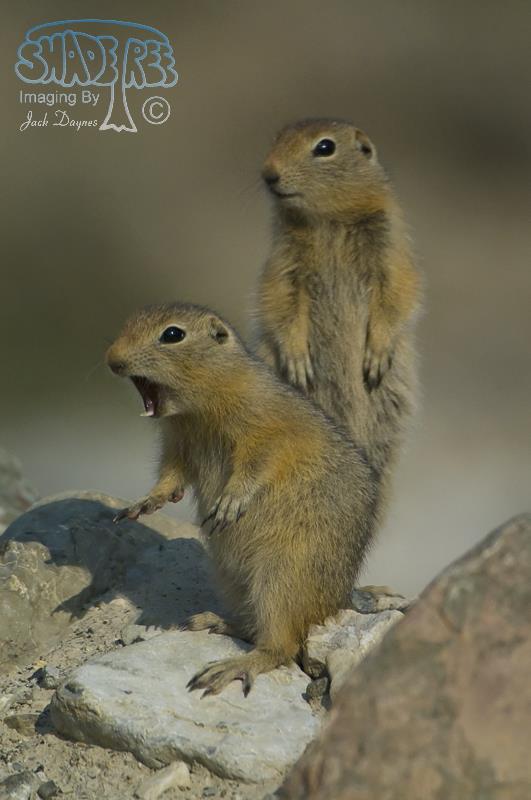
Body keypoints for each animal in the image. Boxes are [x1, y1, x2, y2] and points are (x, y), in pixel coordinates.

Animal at [107, 302, 376, 696]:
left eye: (172, 334)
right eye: (128, 322)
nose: (112, 360)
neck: (201, 405)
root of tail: (334, 604)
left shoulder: (266, 434)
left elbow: (256, 465)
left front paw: (230, 501)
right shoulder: (176, 445)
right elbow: (170, 477)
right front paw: (145, 502)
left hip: (279, 579)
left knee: (281, 647)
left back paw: (229, 667)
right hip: (233, 578)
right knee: (254, 630)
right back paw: (213, 621)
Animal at [255, 118, 421, 527]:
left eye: (325, 147)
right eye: (277, 138)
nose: (268, 173)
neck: (328, 219)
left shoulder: (389, 245)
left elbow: (397, 291)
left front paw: (375, 358)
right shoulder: (283, 260)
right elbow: (279, 300)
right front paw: (299, 363)